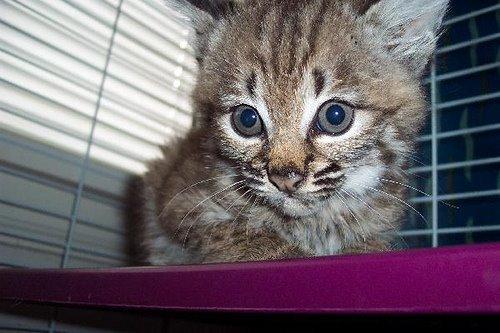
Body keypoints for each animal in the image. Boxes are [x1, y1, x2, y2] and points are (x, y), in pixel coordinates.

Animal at [135, 0, 448, 264]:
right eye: (246, 119)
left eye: (335, 116)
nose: (284, 179)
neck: (317, 220)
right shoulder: (178, 199)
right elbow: (236, 231)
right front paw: (288, 252)